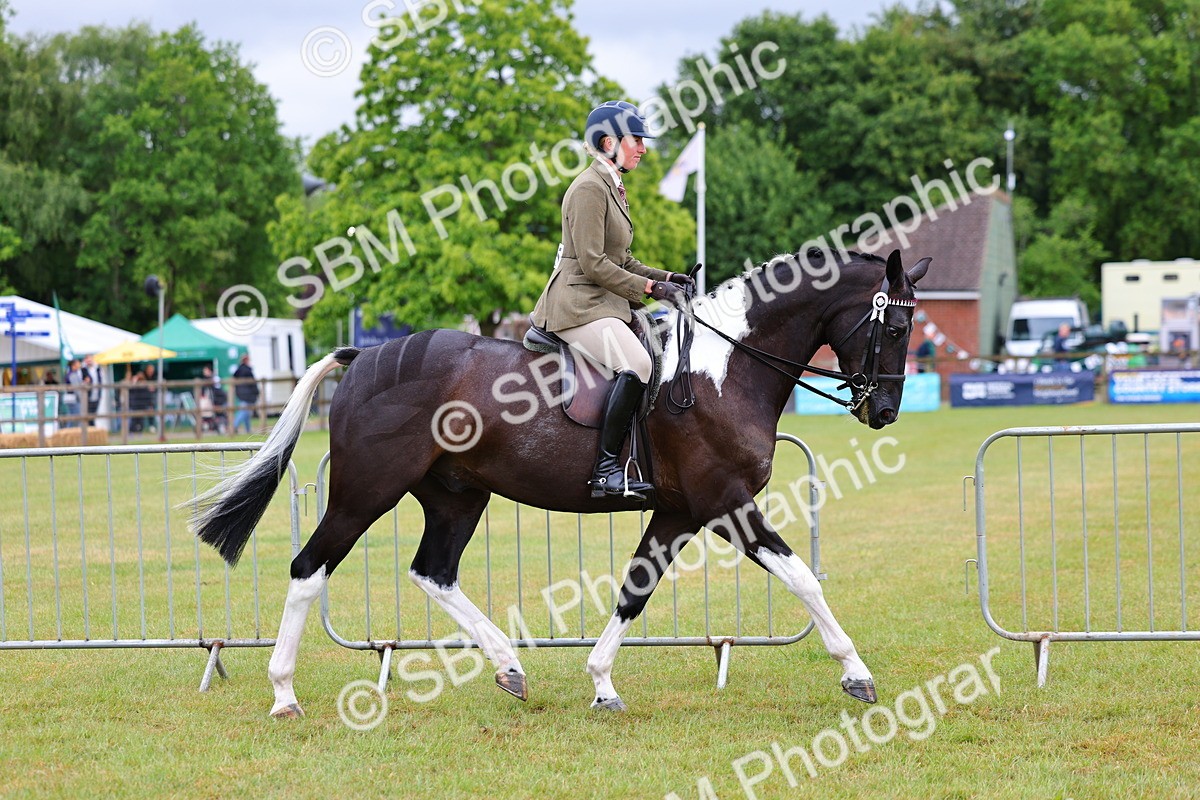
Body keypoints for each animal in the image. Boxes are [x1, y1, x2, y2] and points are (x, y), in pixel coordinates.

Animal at [189, 247, 929, 717]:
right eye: (895, 325)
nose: (886, 411)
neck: (723, 369)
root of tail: (365, 356)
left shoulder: (679, 513)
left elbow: (635, 591)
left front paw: (601, 684)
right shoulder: (727, 505)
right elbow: (803, 578)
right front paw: (857, 674)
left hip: (457, 495)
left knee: (434, 572)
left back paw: (509, 667)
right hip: (365, 492)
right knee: (308, 568)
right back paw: (284, 693)